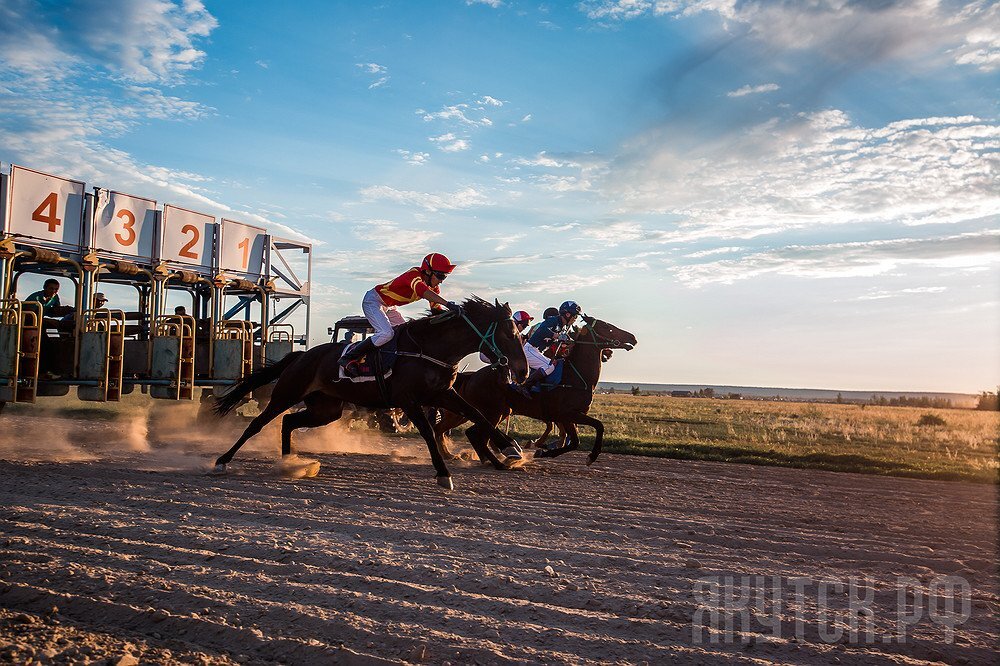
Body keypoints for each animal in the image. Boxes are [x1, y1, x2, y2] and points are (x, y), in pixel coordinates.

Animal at [213, 296, 532, 488]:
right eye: (508, 333)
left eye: (520, 334)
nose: (523, 371)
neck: (430, 348)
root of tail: (302, 356)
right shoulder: (408, 400)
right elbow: (429, 432)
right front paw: (443, 473)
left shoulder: (442, 394)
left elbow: (478, 414)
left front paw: (510, 448)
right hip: (286, 393)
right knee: (258, 424)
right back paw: (222, 461)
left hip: (326, 409)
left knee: (289, 421)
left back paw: (291, 463)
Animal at [430, 316, 632, 462]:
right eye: (608, 327)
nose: (633, 338)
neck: (576, 377)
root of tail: (472, 376)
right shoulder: (567, 414)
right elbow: (591, 430)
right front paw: (588, 455)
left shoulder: (568, 416)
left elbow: (577, 437)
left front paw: (543, 449)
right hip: (490, 412)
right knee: (468, 433)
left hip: (483, 412)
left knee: (457, 431)